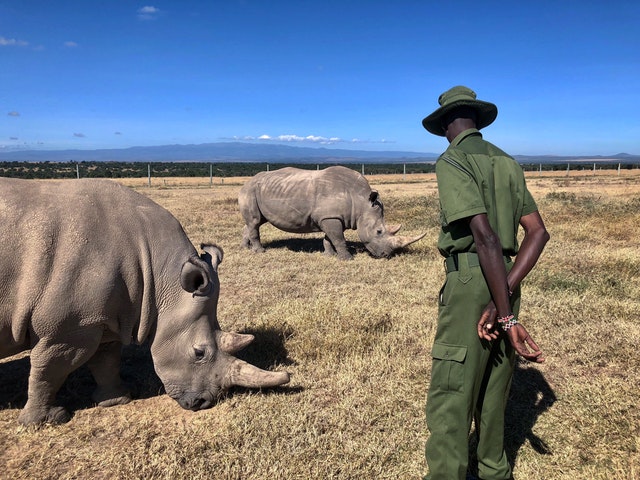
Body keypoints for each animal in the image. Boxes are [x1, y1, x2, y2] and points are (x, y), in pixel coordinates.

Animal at [0, 178, 290, 426]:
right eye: (199, 353)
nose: (202, 403)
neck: (160, 276)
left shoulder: (100, 317)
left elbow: (106, 359)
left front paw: (118, 399)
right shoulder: (66, 329)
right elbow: (50, 369)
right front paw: (47, 421)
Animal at [239, 167, 424, 260]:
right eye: (379, 232)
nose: (386, 255)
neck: (360, 201)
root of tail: (246, 182)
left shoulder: (329, 217)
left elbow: (330, 238)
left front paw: (330, 255)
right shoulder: (330, 217)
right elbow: (339, 238)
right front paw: (347, 259)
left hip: (260, 191)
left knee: (254, 222)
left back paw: (245, 248)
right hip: (250, 191)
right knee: (255, 221)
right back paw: (260, 252)